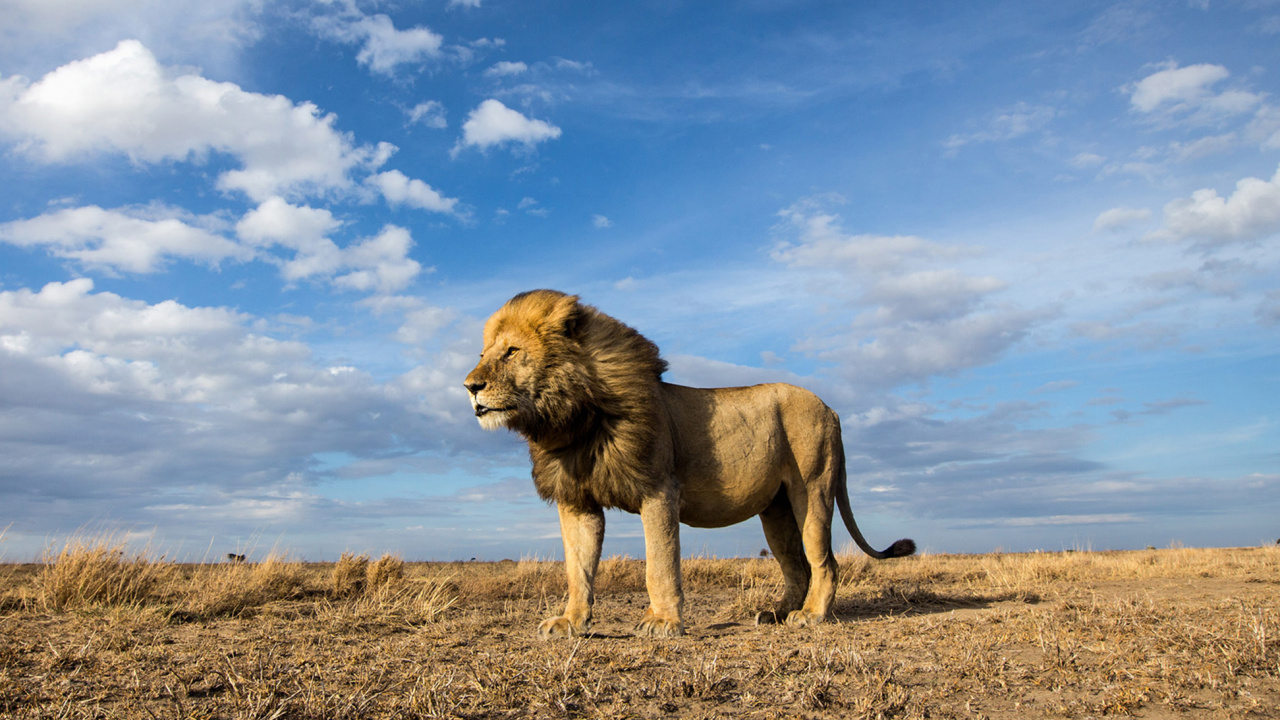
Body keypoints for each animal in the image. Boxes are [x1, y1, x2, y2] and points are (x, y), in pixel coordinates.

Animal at [463, 290, 915, 639]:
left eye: (511, 352)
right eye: (483, 353)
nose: (470, 386)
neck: (573, 418)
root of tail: (831, 408)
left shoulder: (659, 490)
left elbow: (660, 563)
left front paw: (663, 622)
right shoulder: (577, 502)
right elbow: (578, 569)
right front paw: (571, 623)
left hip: (813, 490)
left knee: (824, 561)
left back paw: (810, 616)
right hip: (776, 509)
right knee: (796, 564)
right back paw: (776, 614)